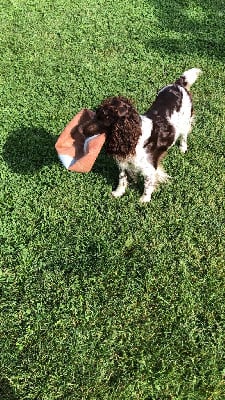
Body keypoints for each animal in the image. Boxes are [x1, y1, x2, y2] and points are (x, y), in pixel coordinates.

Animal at [78, 67, 201, 203]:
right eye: (97, 113)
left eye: (105, 118)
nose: (80, 130)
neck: (135, 137)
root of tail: (178, 84)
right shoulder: (124, 162)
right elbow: (122, 178)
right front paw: (118, 193)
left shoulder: (149, 169)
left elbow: (147, 184)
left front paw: (144, 200)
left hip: (185, 121)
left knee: (184, 136)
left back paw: (182, 148)